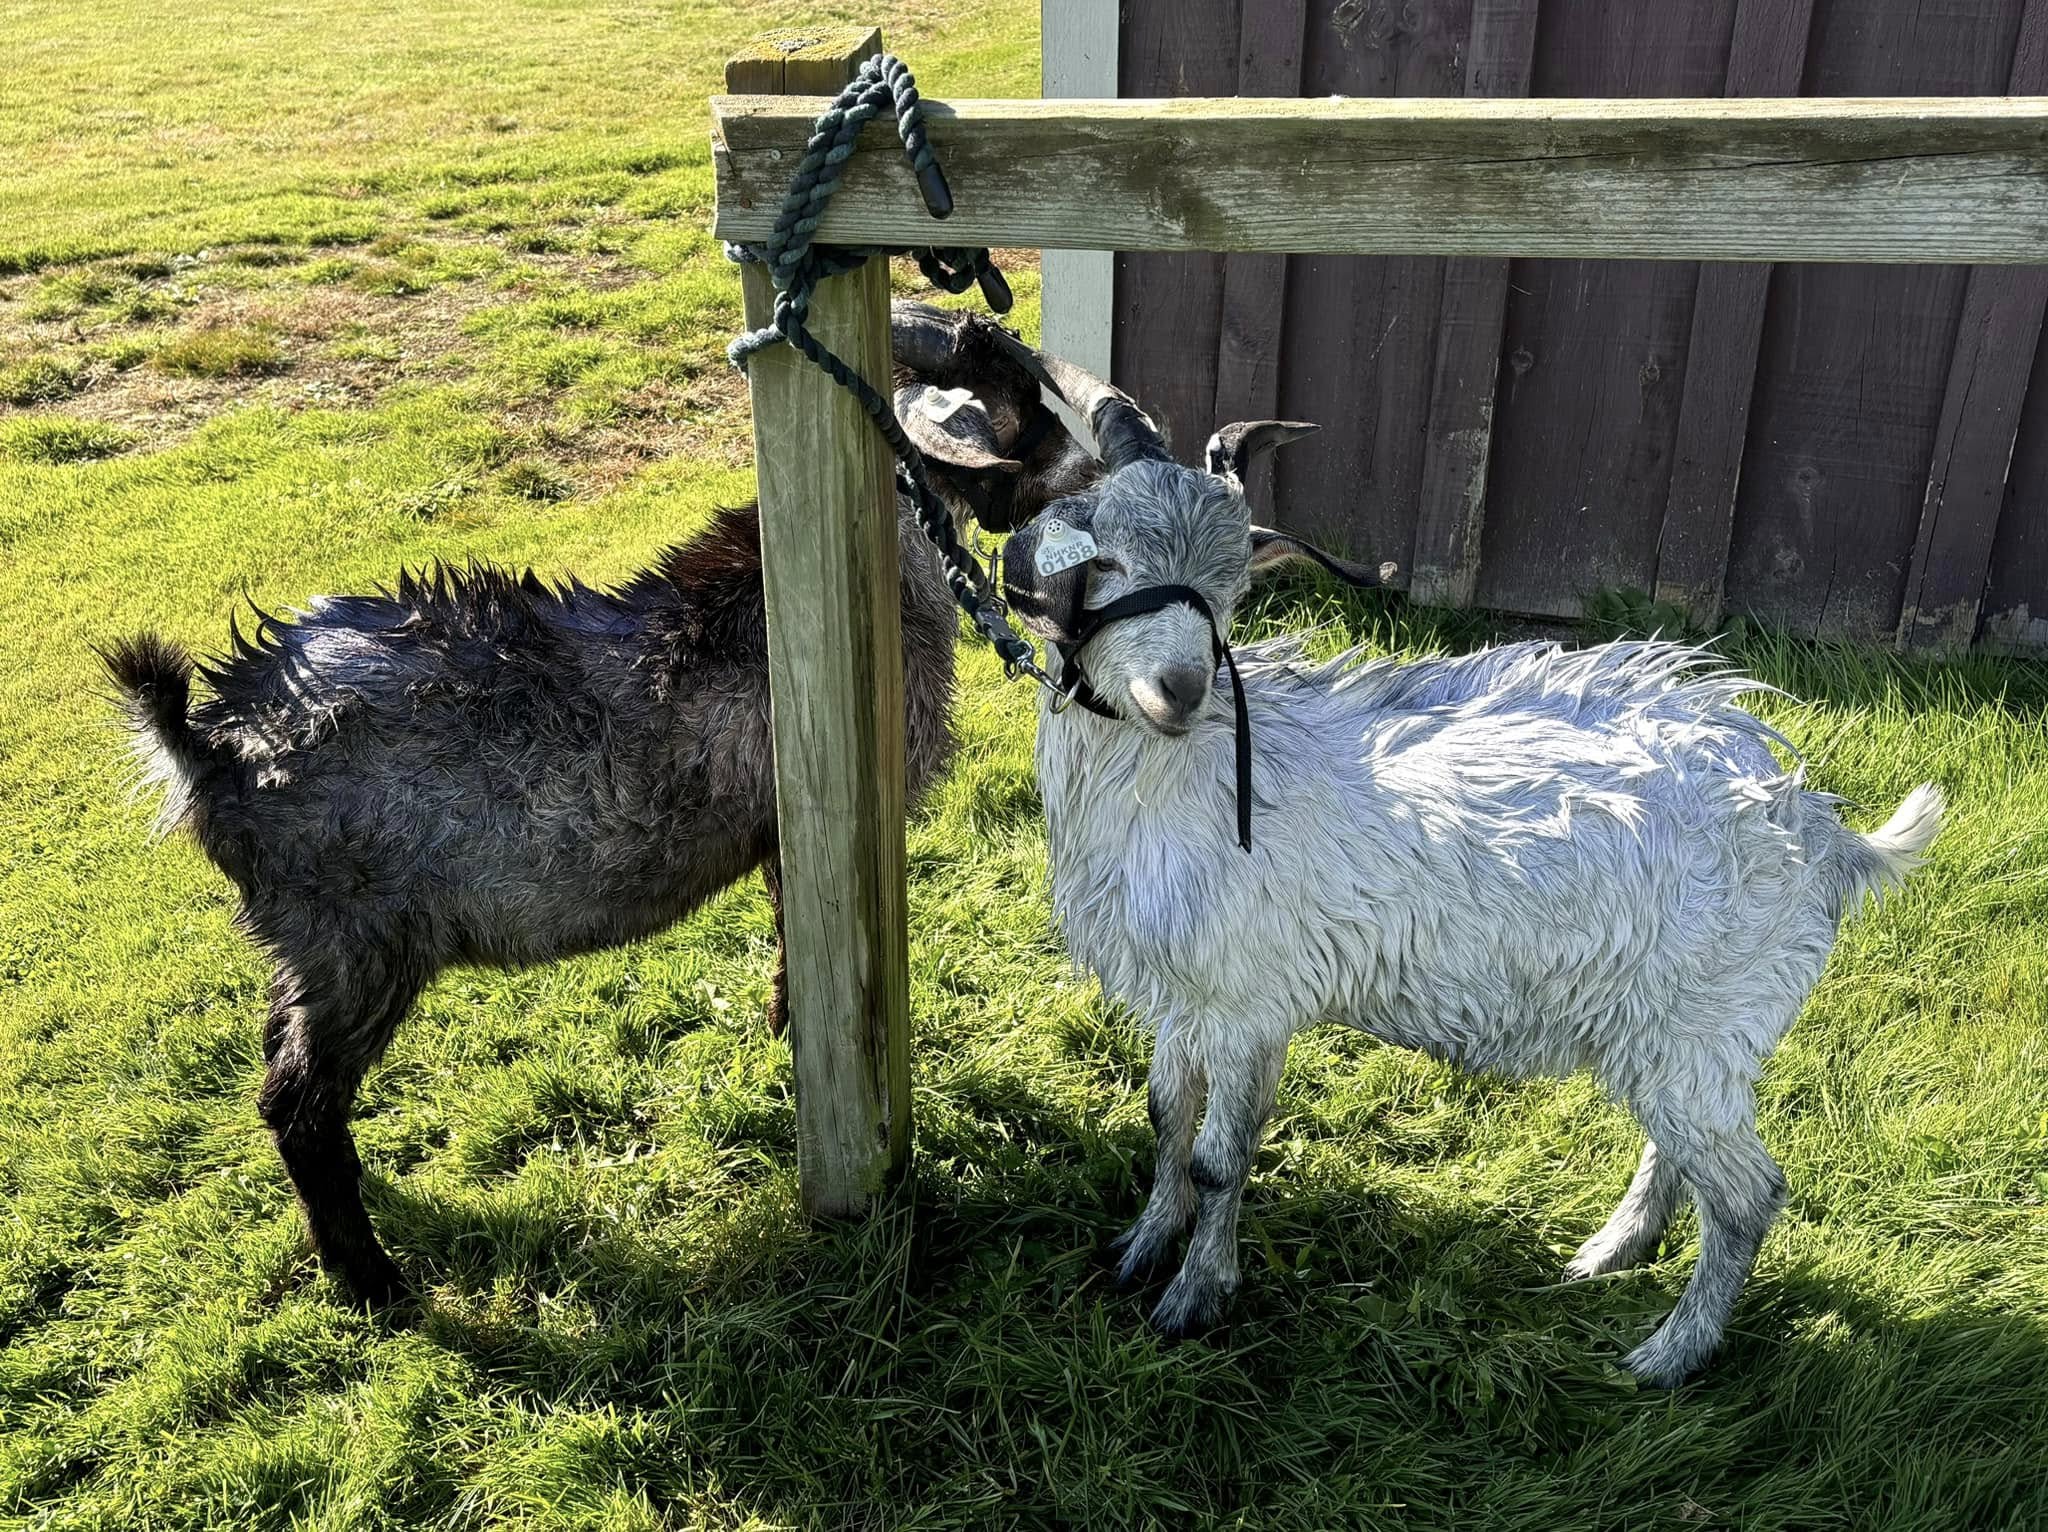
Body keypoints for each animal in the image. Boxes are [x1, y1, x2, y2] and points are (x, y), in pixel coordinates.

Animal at [98, 301, 1093, 1306]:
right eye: (1020, 396)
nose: (1089, 475)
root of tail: (216, 744)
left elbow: (784, 941)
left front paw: (781, 1035)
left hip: (304, 946)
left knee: (281, 1064)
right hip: (355, 941)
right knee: (296, 1099)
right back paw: (373, 1279)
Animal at [986, 332, 1945, 1386]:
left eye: (1235, 591)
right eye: (1110, 558)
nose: (1182, 689)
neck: (1190, 779)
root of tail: (1818, 830)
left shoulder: (1248, 1001)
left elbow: (1218, 1155)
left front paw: (1194, 1297)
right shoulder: (1187, 996)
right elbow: (1166, 1118)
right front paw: (1142, 1247)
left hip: (1705, 1022)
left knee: (1748, 1192)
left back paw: (1668, 1354)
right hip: (1675, 1038)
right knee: (1680, 1154)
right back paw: (1610, 1252)